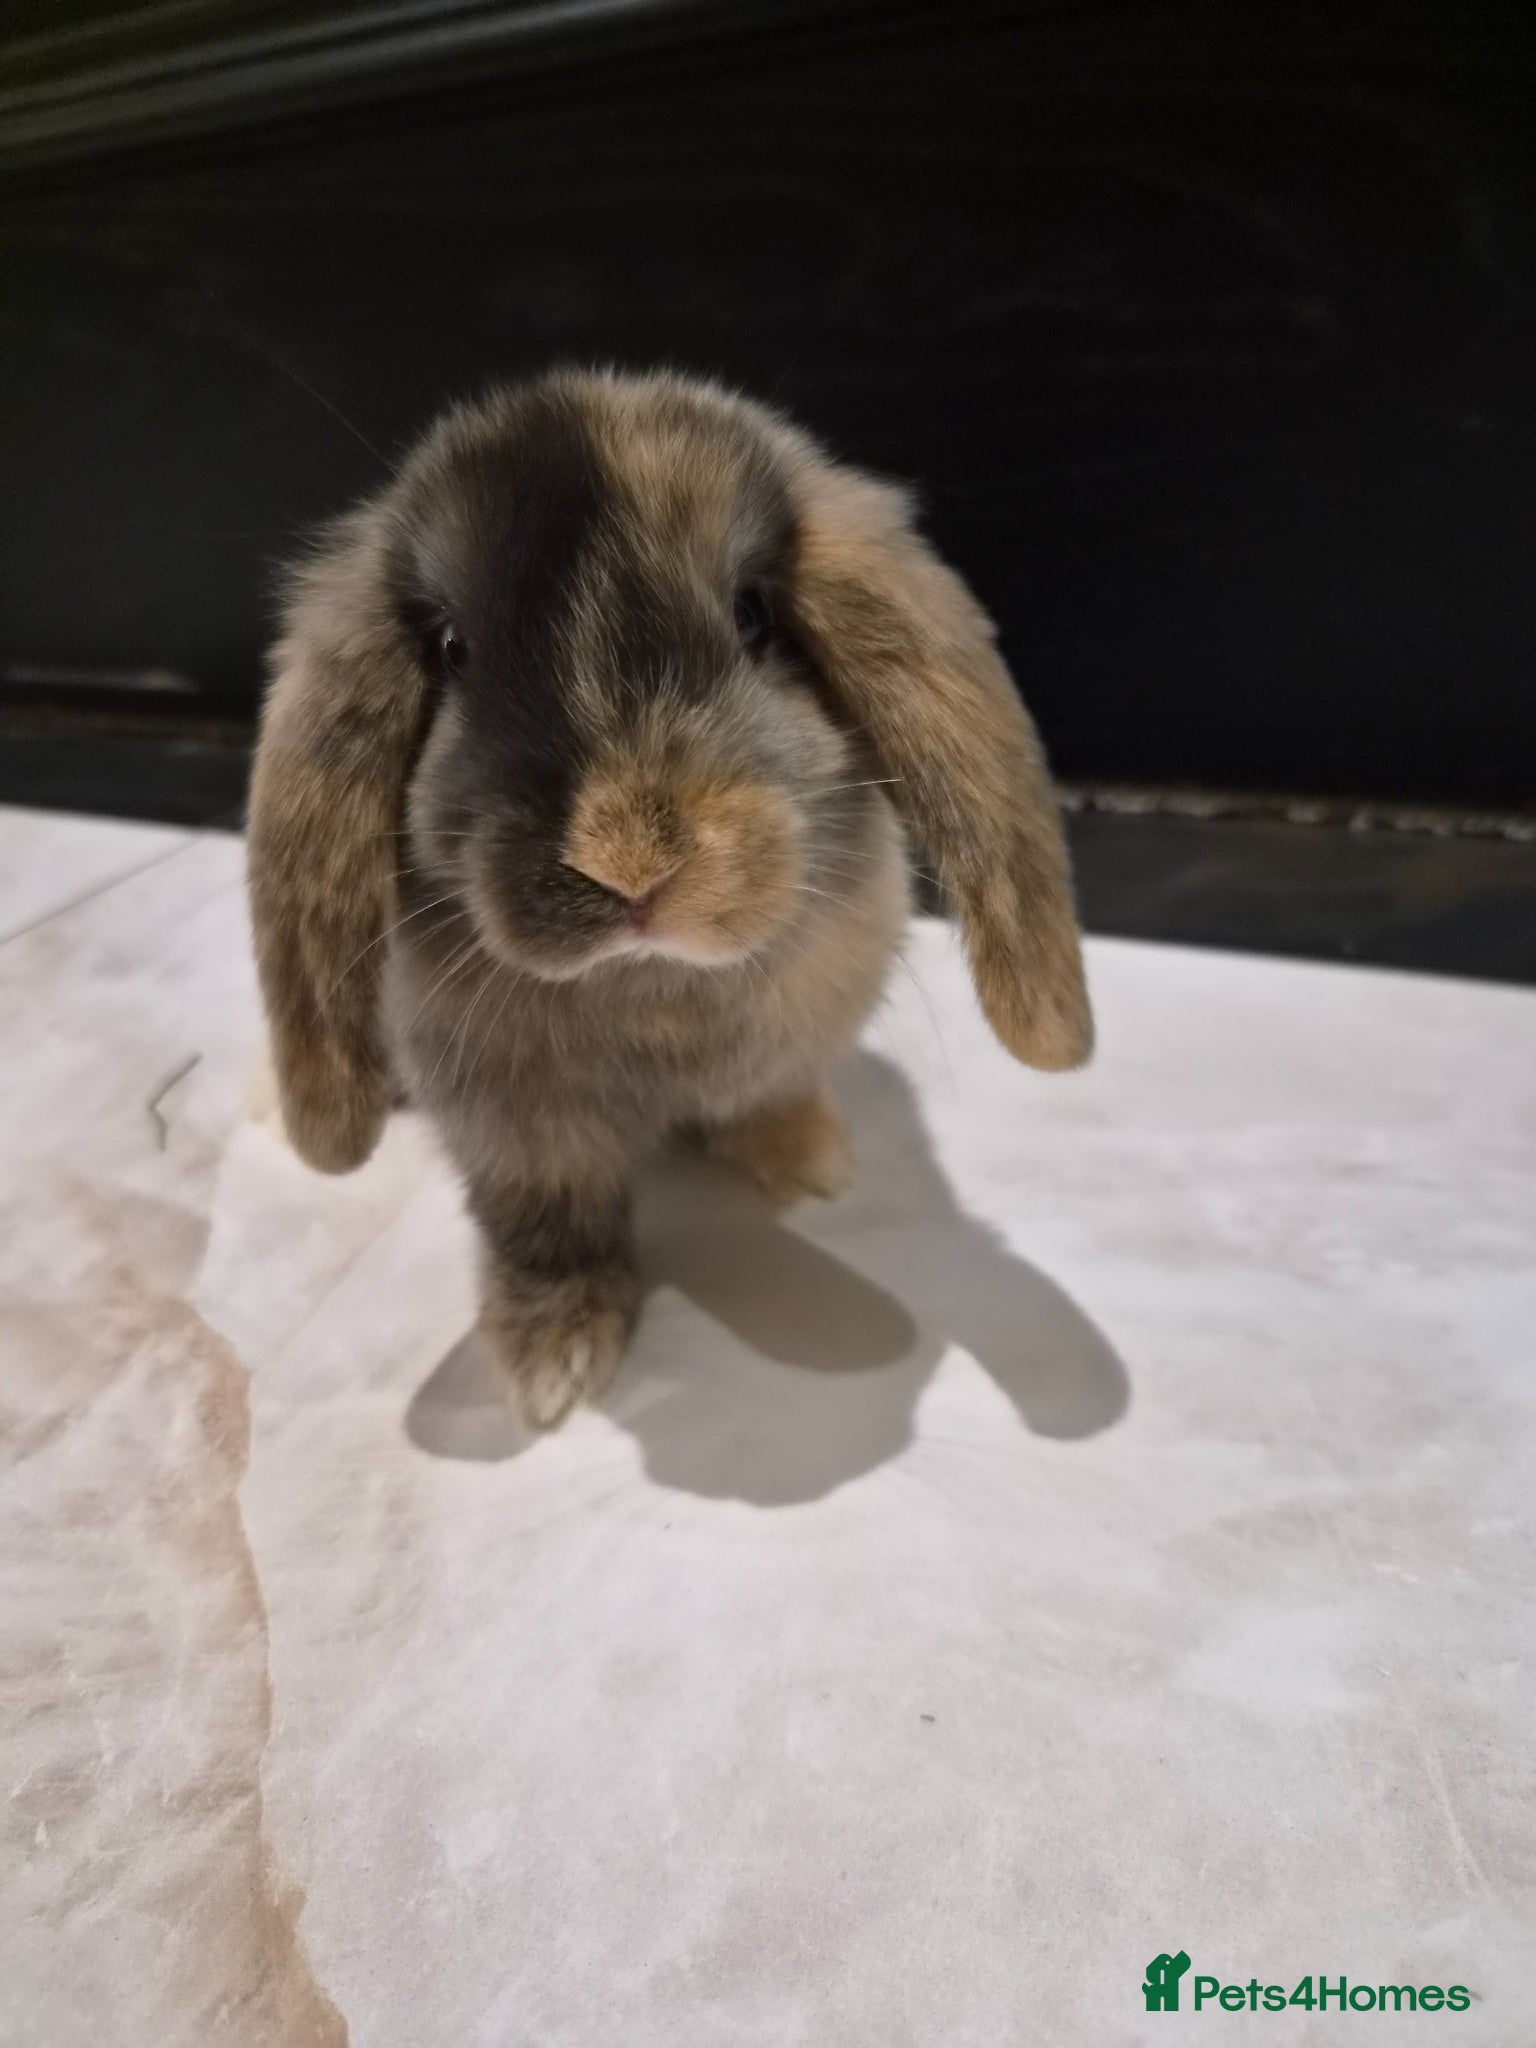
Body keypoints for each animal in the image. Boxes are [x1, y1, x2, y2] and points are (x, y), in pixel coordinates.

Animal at [246, 367, 1092, 1428]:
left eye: (753, 614)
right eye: (452, 648)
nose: (627, 864)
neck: (654, 988)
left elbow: (772, 1096)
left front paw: (809, 1165)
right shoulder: (523, 1136)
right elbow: (550, 1225)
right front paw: (554, 1362)